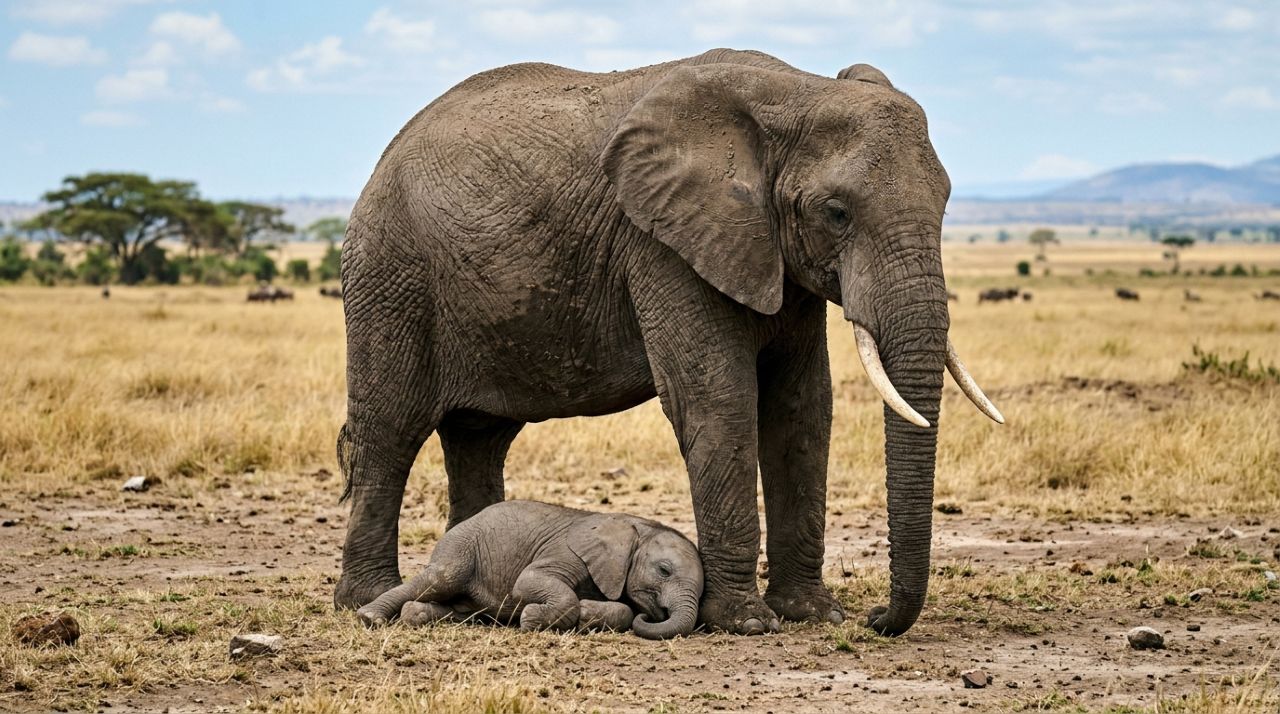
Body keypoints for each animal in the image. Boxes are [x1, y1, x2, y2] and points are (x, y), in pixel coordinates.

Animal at [355, 500, 704, 640]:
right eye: (664, 570)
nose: (654, 613)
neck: (637, 526)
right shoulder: (567, 552)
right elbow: (528, 582)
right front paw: (531, 618)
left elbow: (624, 610)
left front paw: (588, 614)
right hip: (460, 550)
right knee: (439, 579)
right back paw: (370, 618)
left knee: (459, 609)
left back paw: (415, 615)